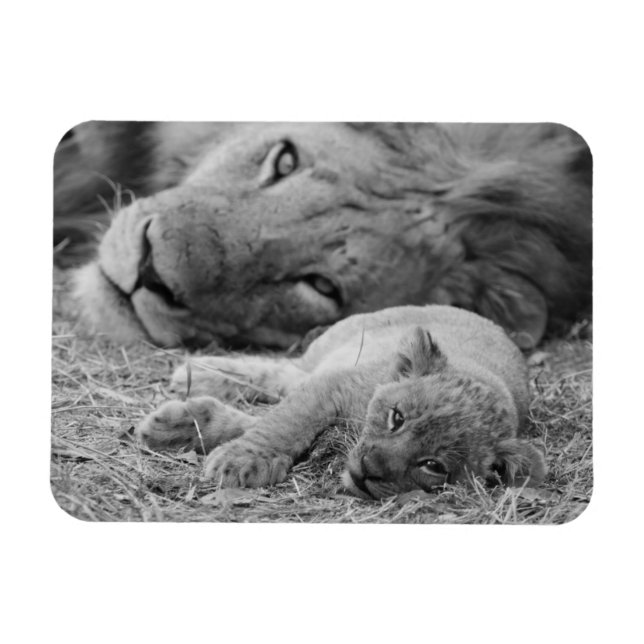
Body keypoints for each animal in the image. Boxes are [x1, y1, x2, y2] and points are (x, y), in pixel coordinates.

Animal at [134, 305, 546, 498]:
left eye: (433, 466)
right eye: (397, 418)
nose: (368, 469)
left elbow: (263, 421)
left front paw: (187, 426)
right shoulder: (336, 385)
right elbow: (284, 423)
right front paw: (242, 460)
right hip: (331, 350)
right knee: (281, 373)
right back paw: (198, 372)